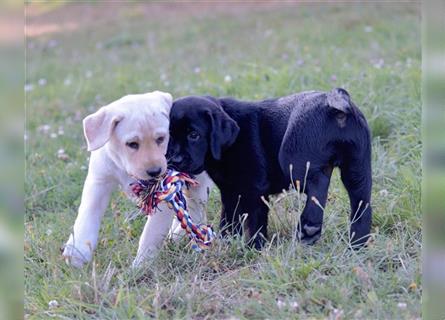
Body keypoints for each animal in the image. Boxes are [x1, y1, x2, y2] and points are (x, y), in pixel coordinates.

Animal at [61, 91, 212, 268]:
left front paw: (141, 265)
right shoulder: (99, 181)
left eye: (161, 139)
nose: (155, 171)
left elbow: (151, 232)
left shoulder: (164, 193)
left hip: (198, 185)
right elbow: (87, 215)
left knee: (196, 209)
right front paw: (77, 252)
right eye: (132, 144)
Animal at [166, 89, 372, 249]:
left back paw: (309, 226)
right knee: (361, 202)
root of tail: (334, 99)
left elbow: (255, 221)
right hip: (358, 166)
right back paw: (357, 244)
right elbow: (229, 218)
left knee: (318, 183)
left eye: (194, 135)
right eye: (167, 137)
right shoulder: (231, 191)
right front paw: (227, 243)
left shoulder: (254, 188)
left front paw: (254, 247)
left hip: (293, 156)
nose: (174, 161)